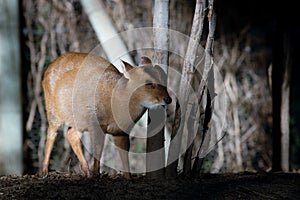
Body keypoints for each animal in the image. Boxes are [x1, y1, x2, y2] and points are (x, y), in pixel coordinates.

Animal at [41, 52, 171, 178]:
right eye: (148, 83)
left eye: (164, 78)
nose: (168, 99)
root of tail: (49, 67)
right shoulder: (96, 122)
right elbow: (98, 149)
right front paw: (96, 175)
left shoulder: (121, 132)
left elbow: (125, 154)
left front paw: (128, 177)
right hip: (53, 110)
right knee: (51, 133)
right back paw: (44, 171)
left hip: (78, 120)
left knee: (71, 133)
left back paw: (86, 171)